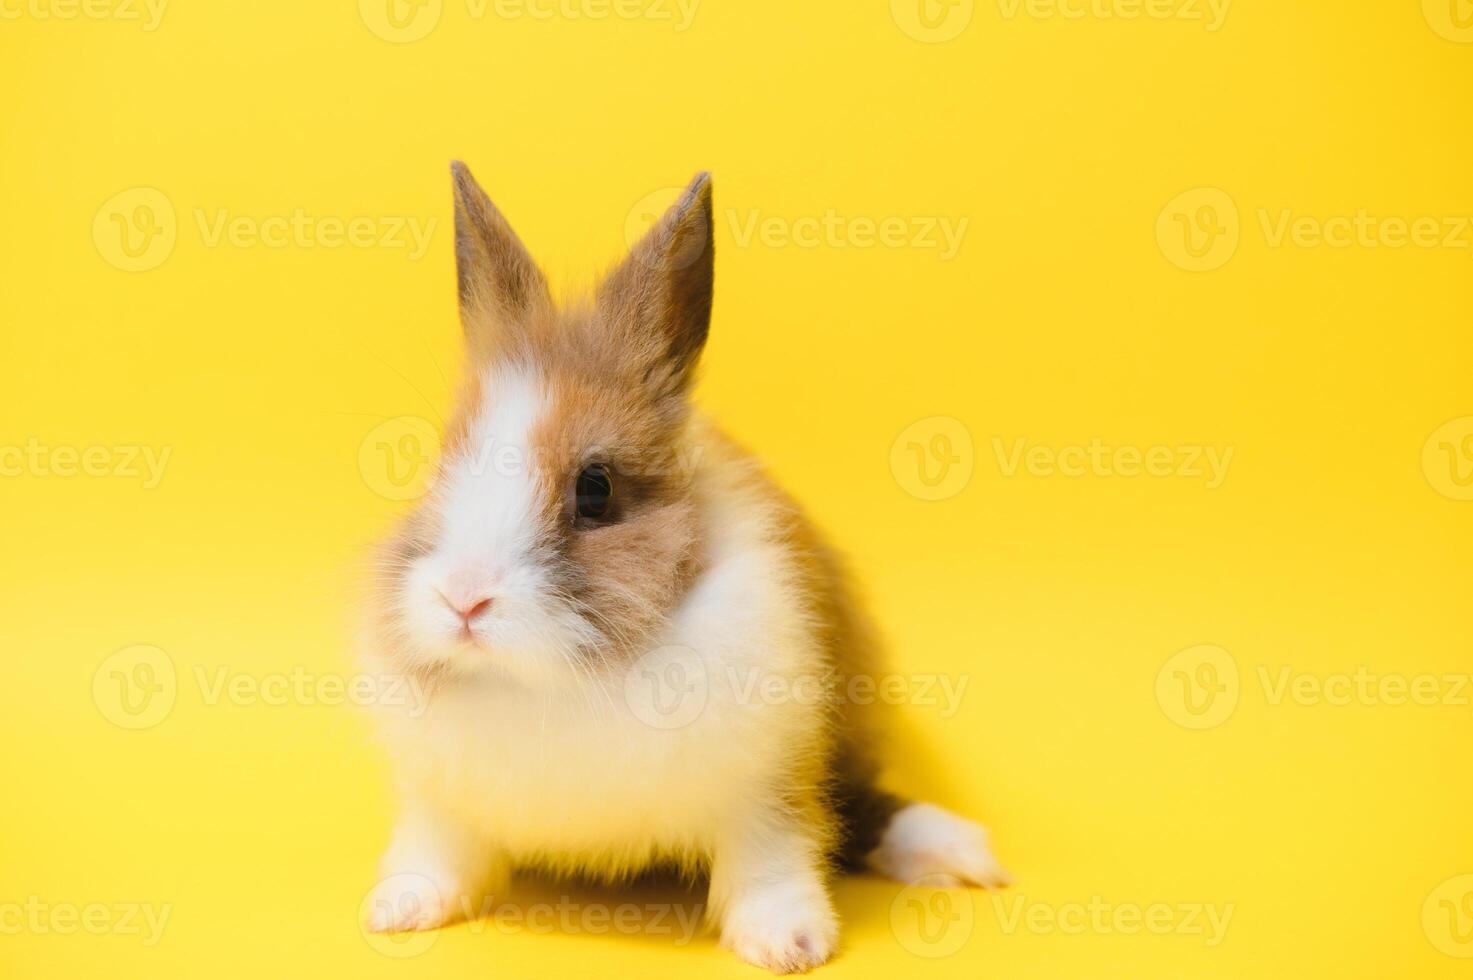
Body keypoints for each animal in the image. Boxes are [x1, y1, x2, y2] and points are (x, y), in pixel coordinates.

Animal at [357, 162, 1007, 972]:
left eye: (595, 489)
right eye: (441, 469)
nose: (464, 599)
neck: (561, 681)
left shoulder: (769, 783)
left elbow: (775, 854)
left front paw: (789, 943)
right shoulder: (441, 801)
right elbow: (438, 851)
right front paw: (399, 909)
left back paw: (962, 853)